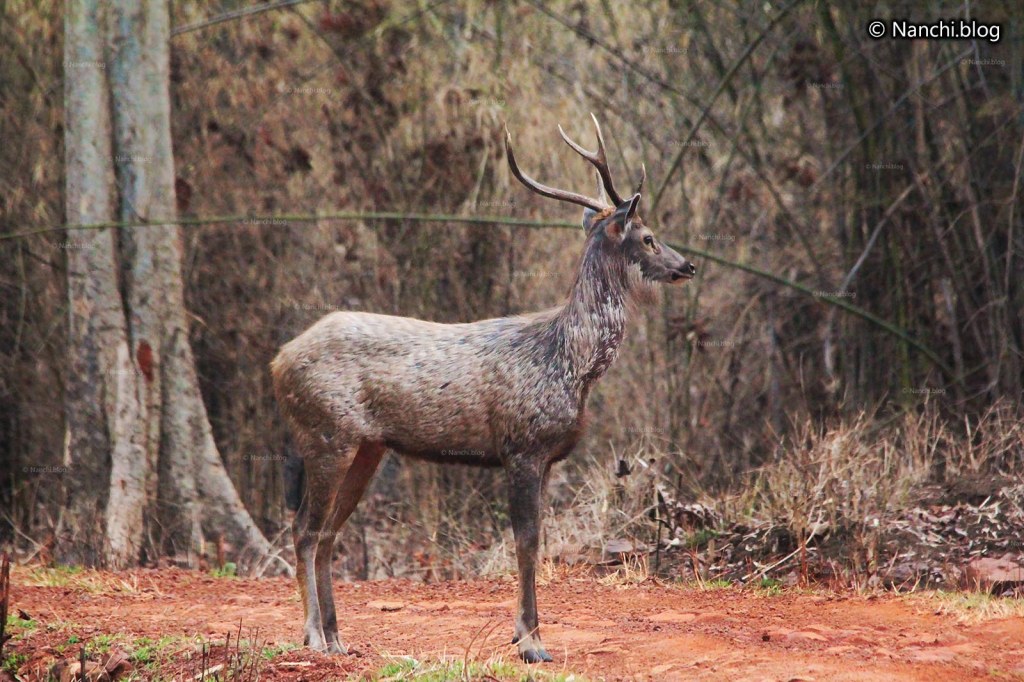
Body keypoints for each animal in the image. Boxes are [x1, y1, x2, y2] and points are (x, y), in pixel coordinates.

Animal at [271, 115, 696, 663]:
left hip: (367, 447)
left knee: (326, 532)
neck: (570, 365)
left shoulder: (547, 458)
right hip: (326, 434)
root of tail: (278, 361)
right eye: (647, 237)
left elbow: (536, 539)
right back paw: (314, 636)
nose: (688, 266)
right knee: (304, 528)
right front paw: (532, 641)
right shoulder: (522, 446)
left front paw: (523, 633)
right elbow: (527, 541)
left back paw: (339, 637)